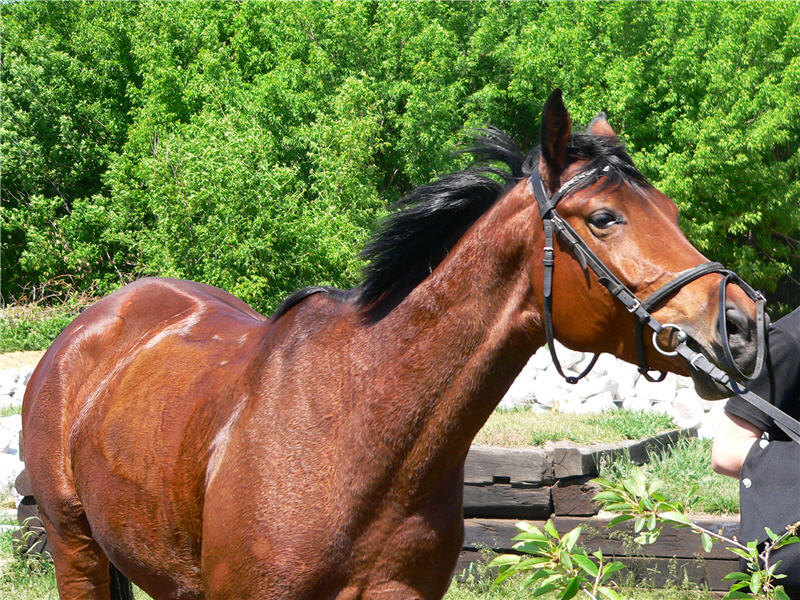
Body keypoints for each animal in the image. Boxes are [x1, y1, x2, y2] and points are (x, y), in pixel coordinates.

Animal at [21, 90, 760, 600]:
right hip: (76, 548)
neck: (353, 431)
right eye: (605, 218)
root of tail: (91, 327)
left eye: (671, 211)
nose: (742, 325)